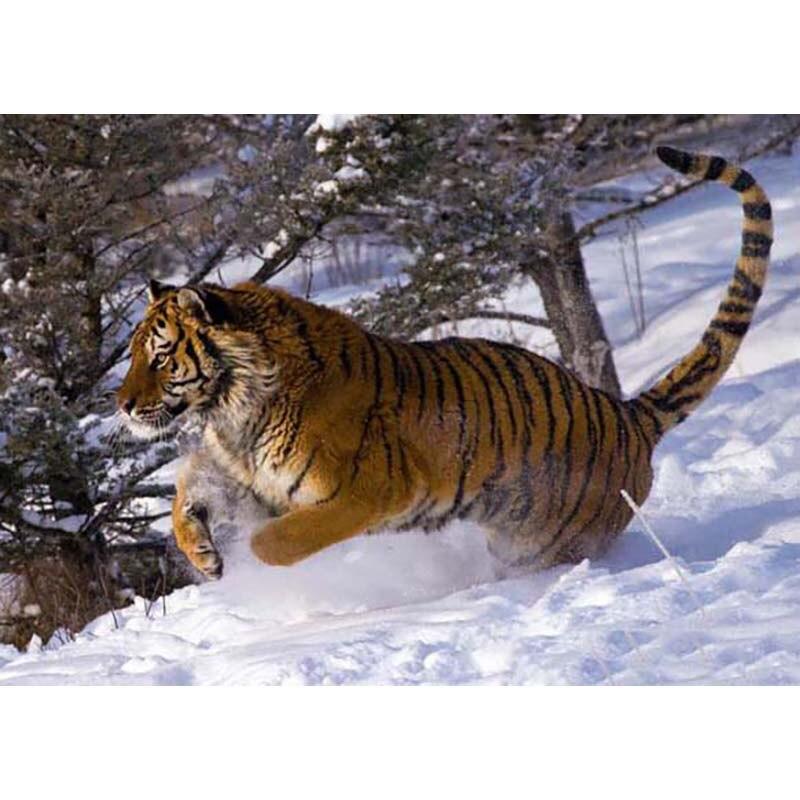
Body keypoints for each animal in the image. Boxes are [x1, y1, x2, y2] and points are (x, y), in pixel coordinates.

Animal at [117, 146, 772, 580]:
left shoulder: (364, 491)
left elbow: (276, 541)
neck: (234, 407)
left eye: (161, 355)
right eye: (133, 355)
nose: (121, 406)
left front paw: (250, 558)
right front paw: (203, 552)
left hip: (547, 543)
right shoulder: (244, 470)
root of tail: (627, 413)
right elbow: (185, 491)